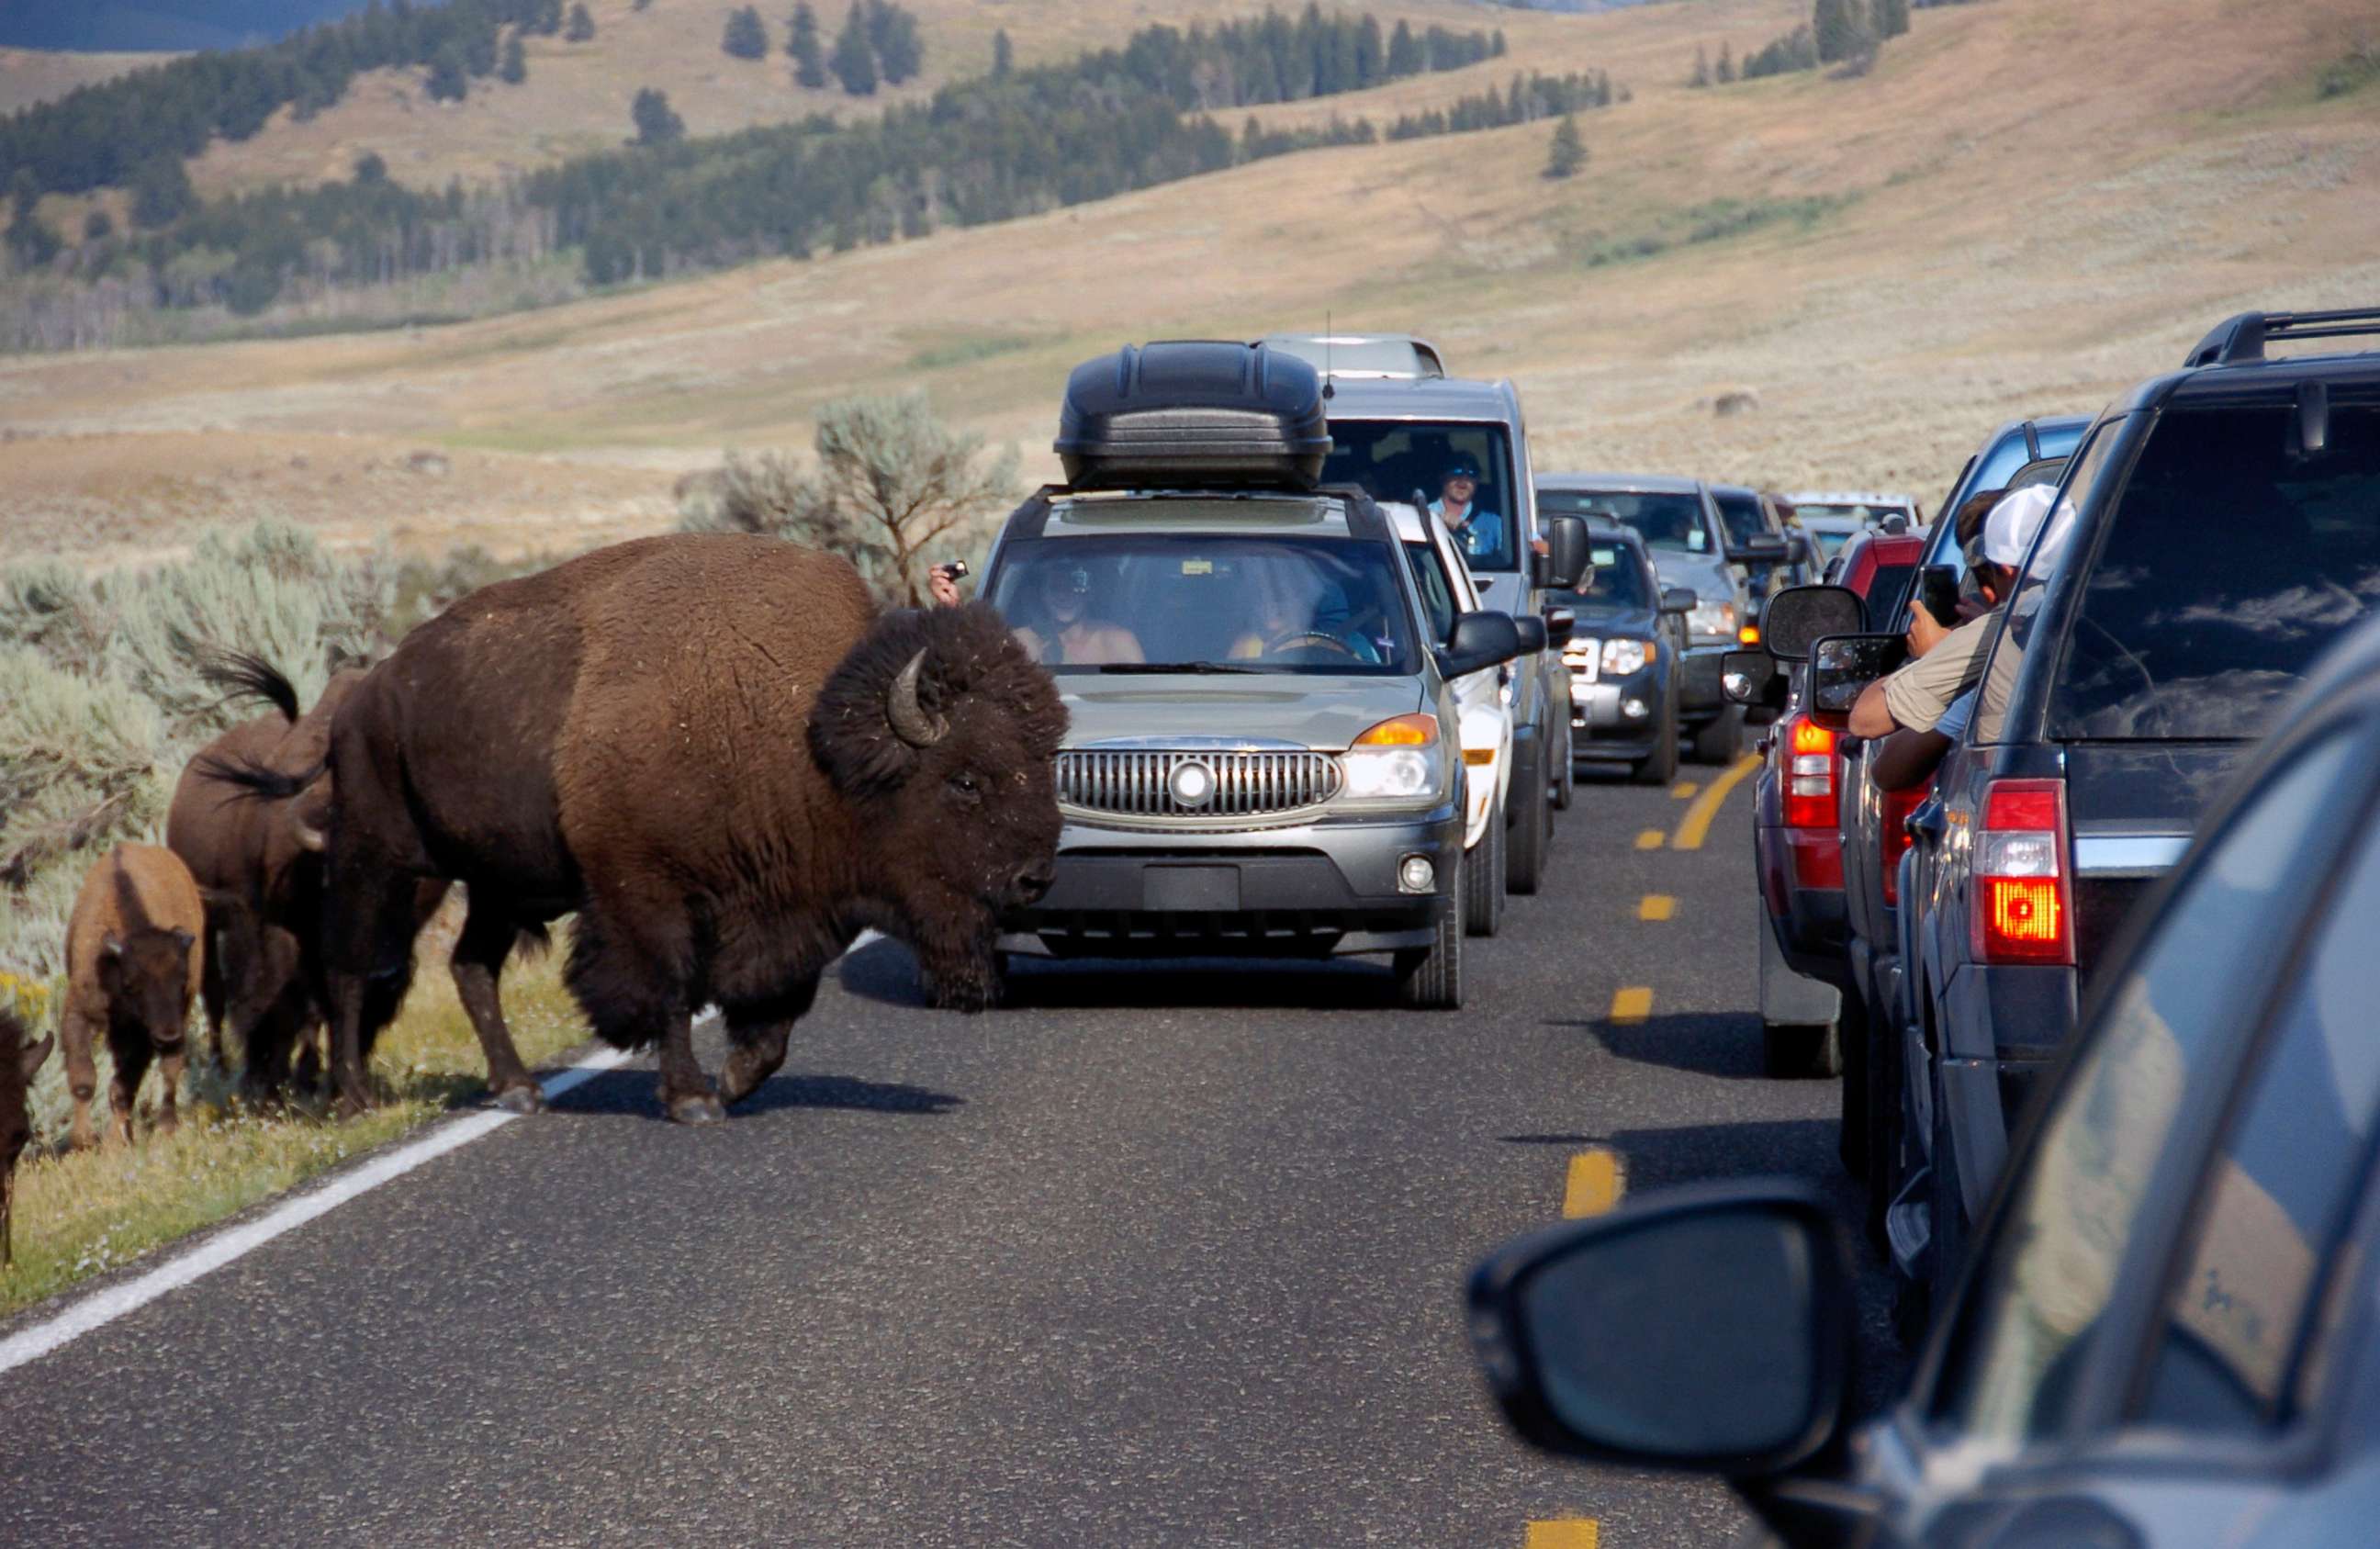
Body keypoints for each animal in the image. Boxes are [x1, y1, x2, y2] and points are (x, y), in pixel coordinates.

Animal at [62, 847, 204, 1151]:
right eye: (131, 984)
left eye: (183, 980)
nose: (169, 1036)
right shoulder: (78, 1014)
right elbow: (84, 1079)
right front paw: (83, 1141)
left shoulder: (143, 1036)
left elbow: (122, 1087)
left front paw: (112, 1144)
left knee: (169, 1070)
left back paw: (164, 1129)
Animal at [214, 540, 1071, 1123]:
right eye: (965, 778)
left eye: (1044, 760)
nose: (1035, 876)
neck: (805, 735)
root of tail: (361, 697)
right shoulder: (644, 891)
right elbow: (670, 988)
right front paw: (693, 1097)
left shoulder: (788, 909)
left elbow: (776, 1014)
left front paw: (734, 1080)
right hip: (380, 858)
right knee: (349, 968)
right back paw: (355, 1096)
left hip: (499, 883)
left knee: (470, 966)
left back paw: (519, 1089)